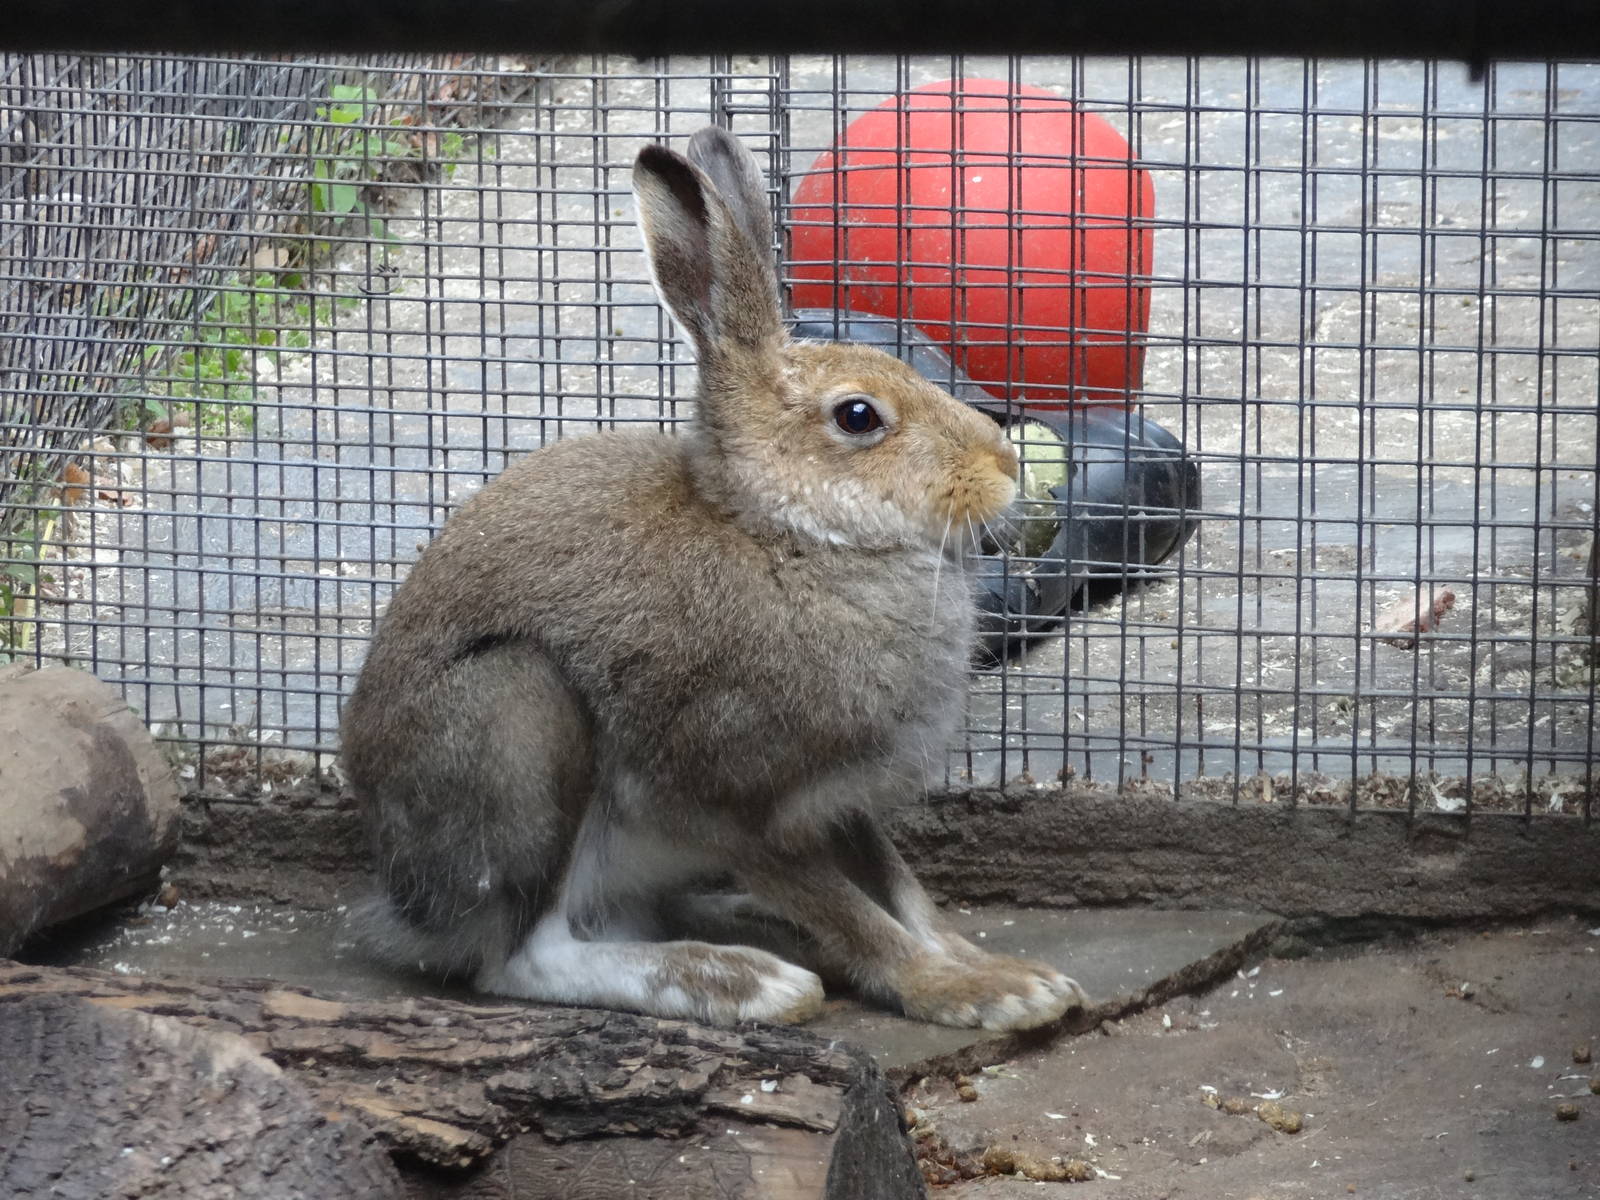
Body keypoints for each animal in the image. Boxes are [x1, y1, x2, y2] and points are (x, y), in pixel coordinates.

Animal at [339, 125, 1087, 1032]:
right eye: (859, 416)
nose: (1005, 465)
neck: (789, 534)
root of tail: (404, 901)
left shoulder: (835, 802)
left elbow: (903, 893)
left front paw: (1002, 972)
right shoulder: (730, 803)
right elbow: (858, 915)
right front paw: (973, 993)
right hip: (519, 724)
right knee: (522, 956)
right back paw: (743, 981)